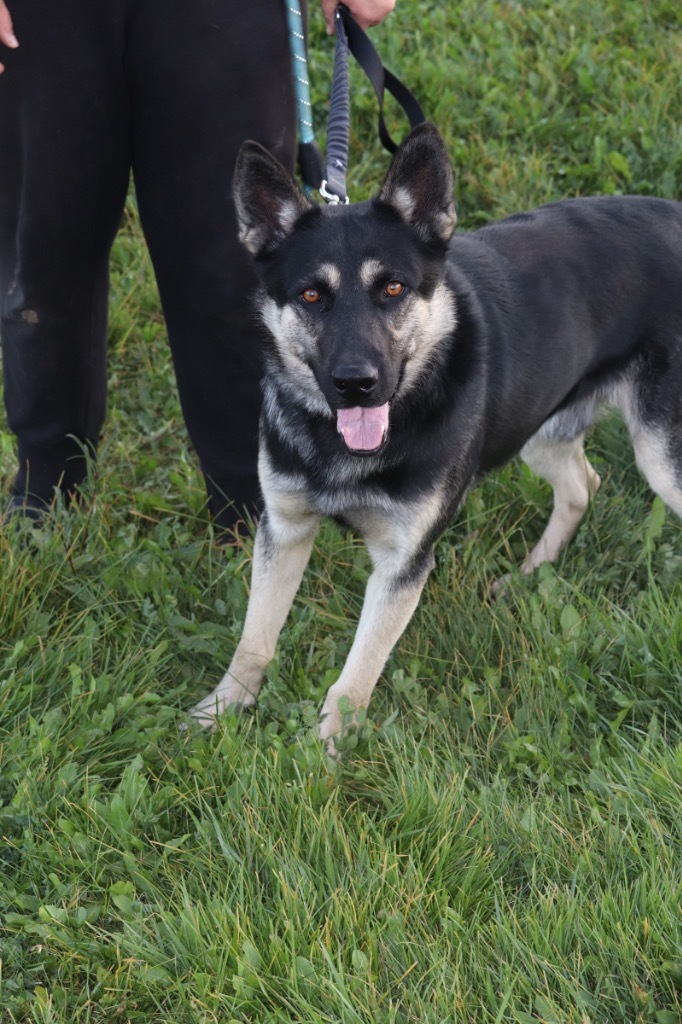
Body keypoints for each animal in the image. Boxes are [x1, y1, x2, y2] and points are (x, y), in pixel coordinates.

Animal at [191, 123, 679, 749]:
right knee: (581, 484)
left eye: (394, 288)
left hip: (660, 457)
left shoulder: (403, 563)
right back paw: (529, 576)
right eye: (310, 295)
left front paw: (326, 754)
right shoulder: (284, 529)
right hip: (539, 426)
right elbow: (255, 636)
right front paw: (222, 708)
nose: (357, 385)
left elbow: (356, 675)